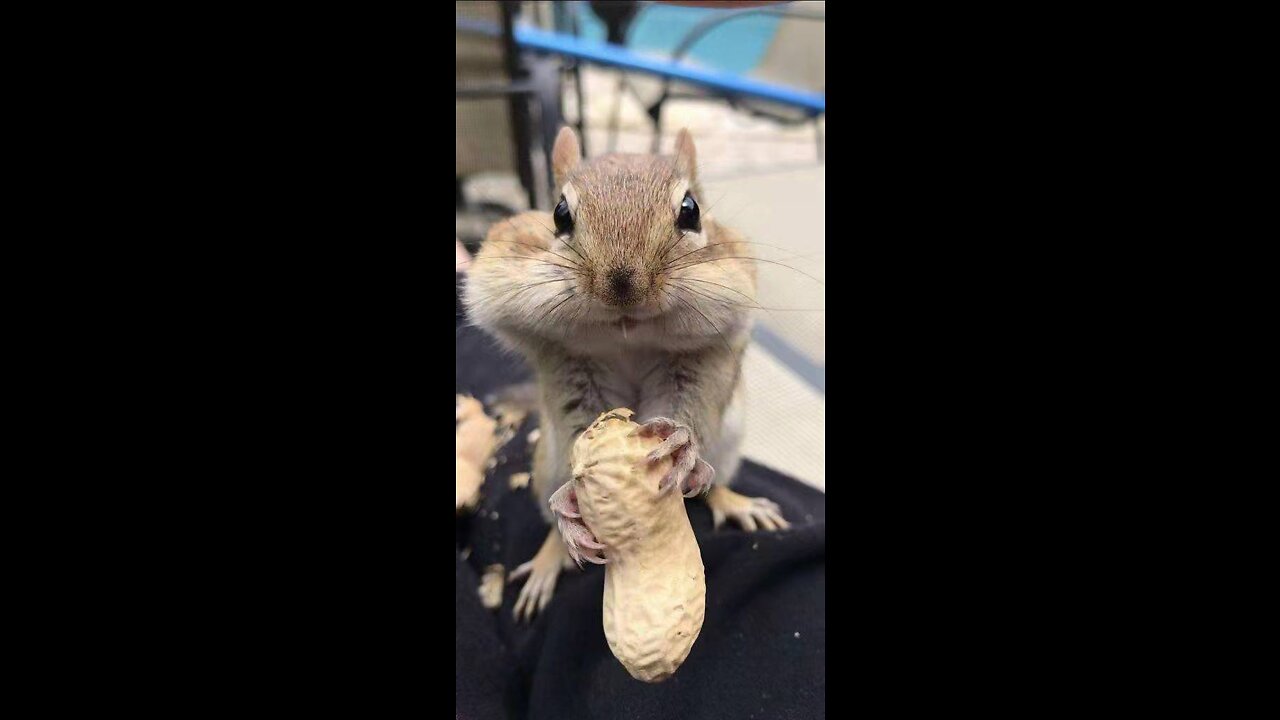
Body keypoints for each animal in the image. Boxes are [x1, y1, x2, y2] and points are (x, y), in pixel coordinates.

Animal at [463, 127, 789, 622]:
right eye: (559, 214)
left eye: (691, 210)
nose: (622, 284)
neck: (627, 333)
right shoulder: (568, 364)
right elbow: (581, 423)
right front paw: (572, 500)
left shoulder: (703, 355)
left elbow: (688, 406)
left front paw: (680, 443)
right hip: (544, 468)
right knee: (552, 516)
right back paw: (550, 554)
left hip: (729, 444)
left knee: (711, 486)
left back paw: (735, 502)